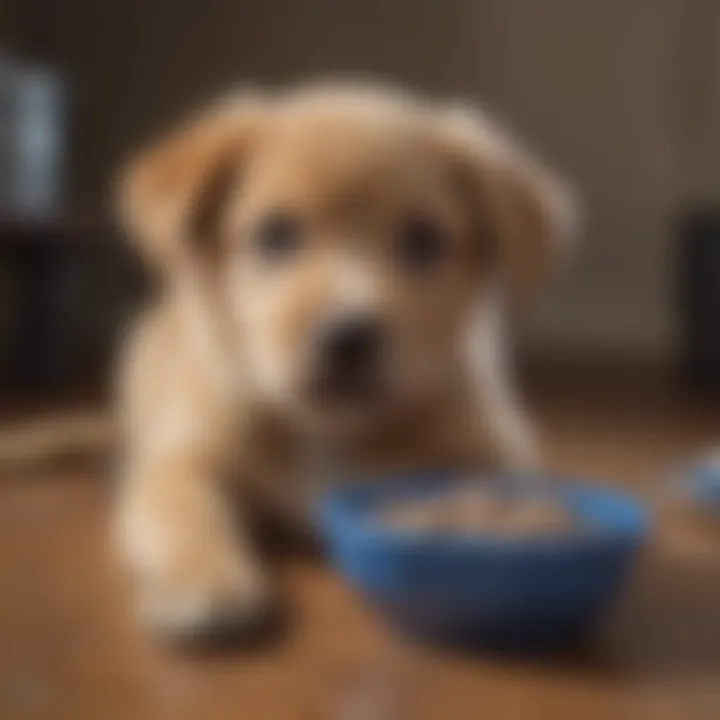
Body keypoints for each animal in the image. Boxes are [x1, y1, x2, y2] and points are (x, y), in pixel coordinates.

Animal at [112, 81, 572, 640]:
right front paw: (205, 583)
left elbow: (502, 488)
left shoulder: (492, 446)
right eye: (275, 234)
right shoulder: (178, 462)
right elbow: (187, 514)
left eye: (423, 240)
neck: (327, 431)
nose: (349, 337)